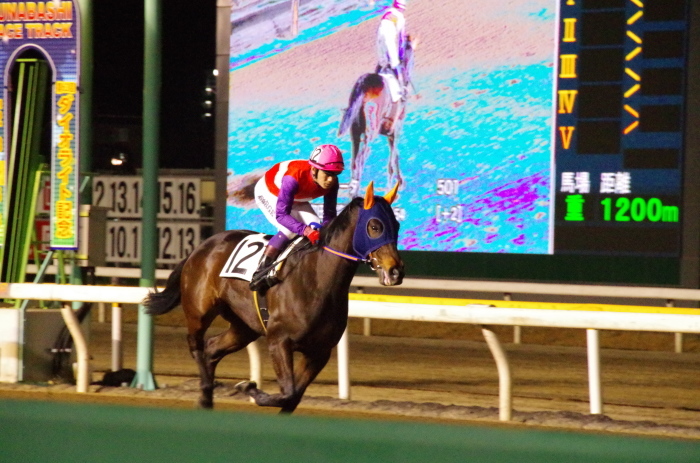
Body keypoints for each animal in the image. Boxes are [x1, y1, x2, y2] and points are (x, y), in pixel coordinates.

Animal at [143, 181, 404, 414]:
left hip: (244, 326)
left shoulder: (319, 352)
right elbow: (287, 392)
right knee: (196, 345)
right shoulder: (279, 341)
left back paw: (206, 396)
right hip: (199, 311)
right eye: (375, 226)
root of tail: (200, 247)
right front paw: (248, 387)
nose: (396, 271)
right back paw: (207, 391)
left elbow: (292, 397)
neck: (317, 280)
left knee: (211, 348)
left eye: (397, 225)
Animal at [338, 35, 412, 196]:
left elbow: (395, 155)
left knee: (354, 160)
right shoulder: (396, 129)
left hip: (355, 132)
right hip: (370, 134)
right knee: (360, 159)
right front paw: (393, 187)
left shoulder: (390, 133)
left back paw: (353, 191)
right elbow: (393, 159)